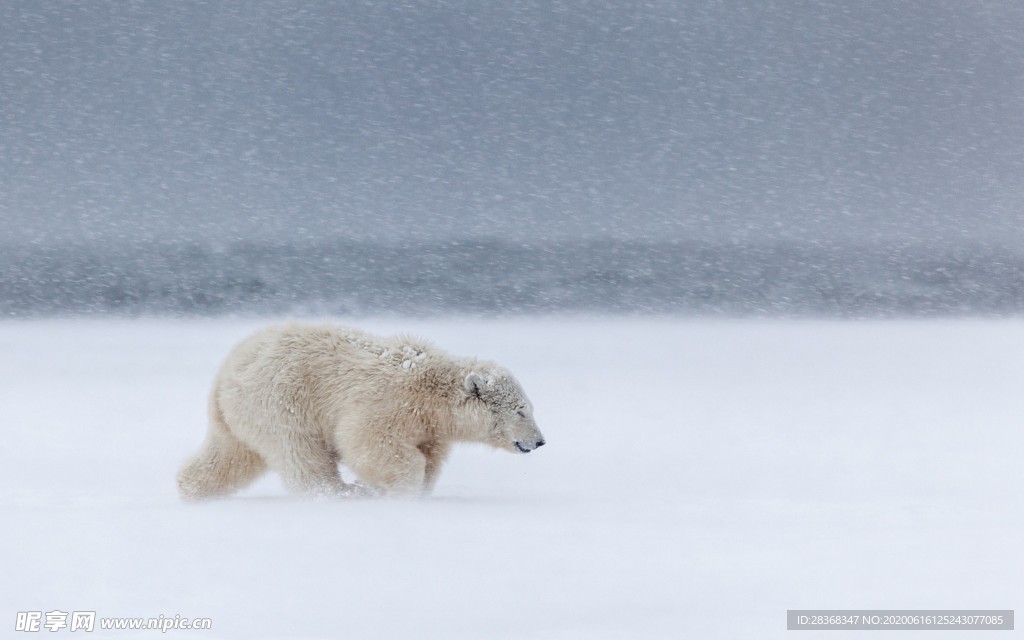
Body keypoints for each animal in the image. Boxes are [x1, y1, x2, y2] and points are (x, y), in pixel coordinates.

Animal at [178, 323, 544, 499]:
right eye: (521, 411)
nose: (540, 441)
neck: (430, 391)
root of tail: (225, 373)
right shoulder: (387, 403)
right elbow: (366, 442)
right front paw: (393, 490)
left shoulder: (429, 427)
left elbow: (430, 458)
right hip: (281, 400)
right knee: (301, 453)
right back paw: (341, 493)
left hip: (237, 417)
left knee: (229, 455)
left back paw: (191, 489)